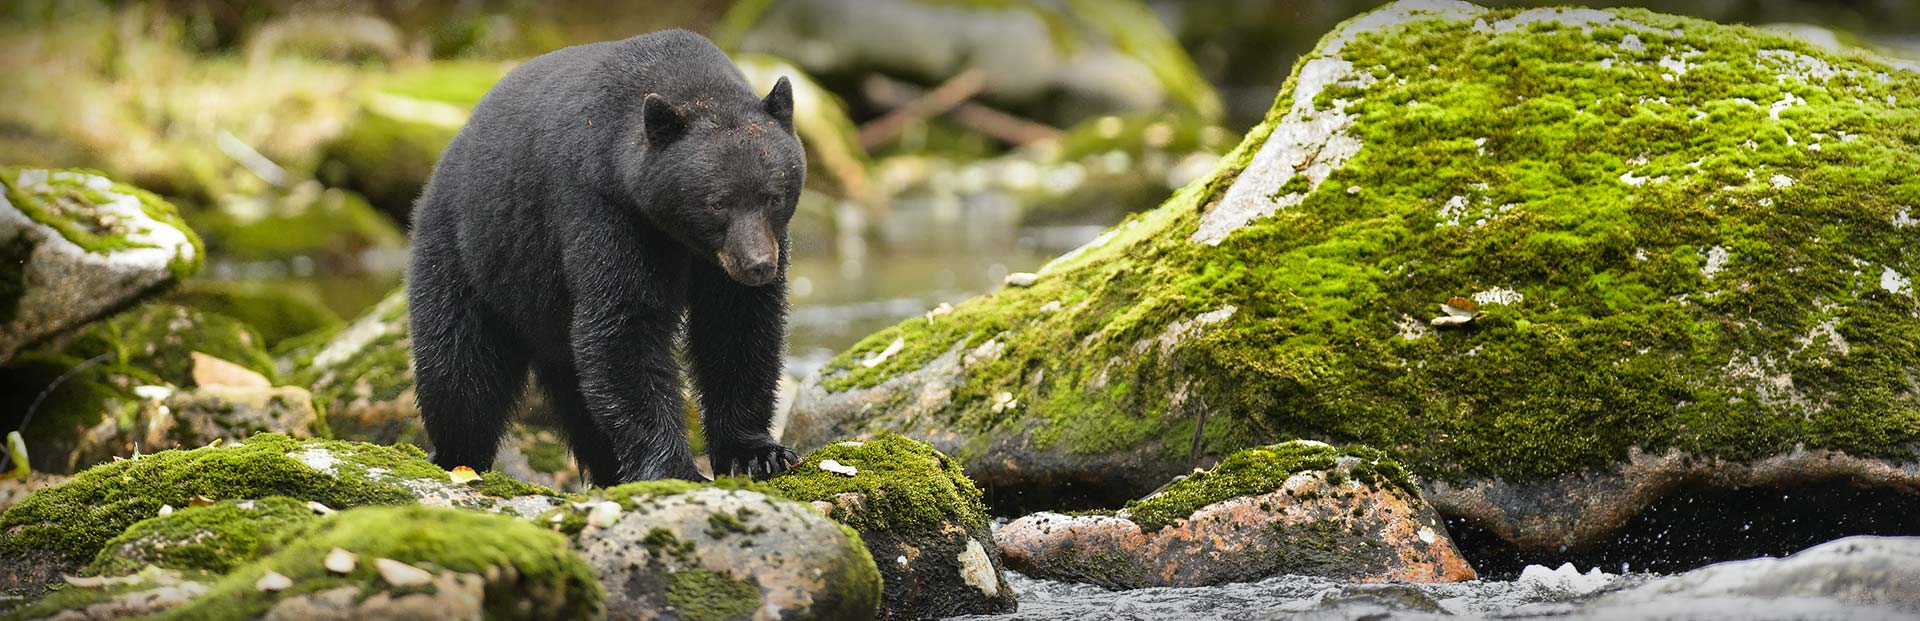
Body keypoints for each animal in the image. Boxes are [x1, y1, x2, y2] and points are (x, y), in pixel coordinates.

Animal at [406, 30, 804, 484]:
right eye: (718, 202)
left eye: (774, 196)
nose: (758, 265)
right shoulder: (604, 208)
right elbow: (623, 323)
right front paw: (674, 468)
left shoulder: (734, 258)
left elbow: (738, 327)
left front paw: (757, 453)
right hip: (468, 254)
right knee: (460, 368)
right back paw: (457, 457)